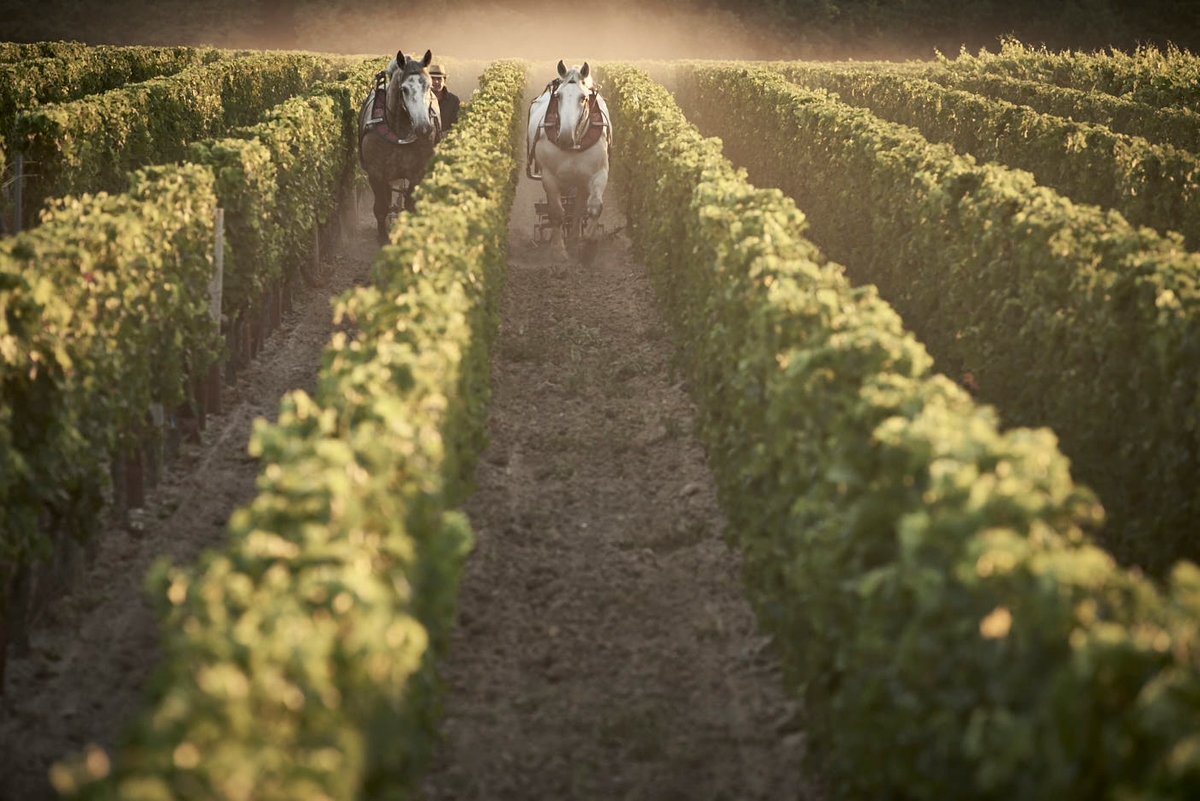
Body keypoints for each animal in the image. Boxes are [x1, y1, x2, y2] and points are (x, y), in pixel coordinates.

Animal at [530, 60, 614, 260]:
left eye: (583, 98)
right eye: (558, 96)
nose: (565, 138)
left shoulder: (599, 173)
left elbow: (594, 208)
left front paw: (588, 246)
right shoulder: (549, 177)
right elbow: (556, 213)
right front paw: (558, 250)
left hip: (581, 180)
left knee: (578, 209)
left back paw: (575, 240)